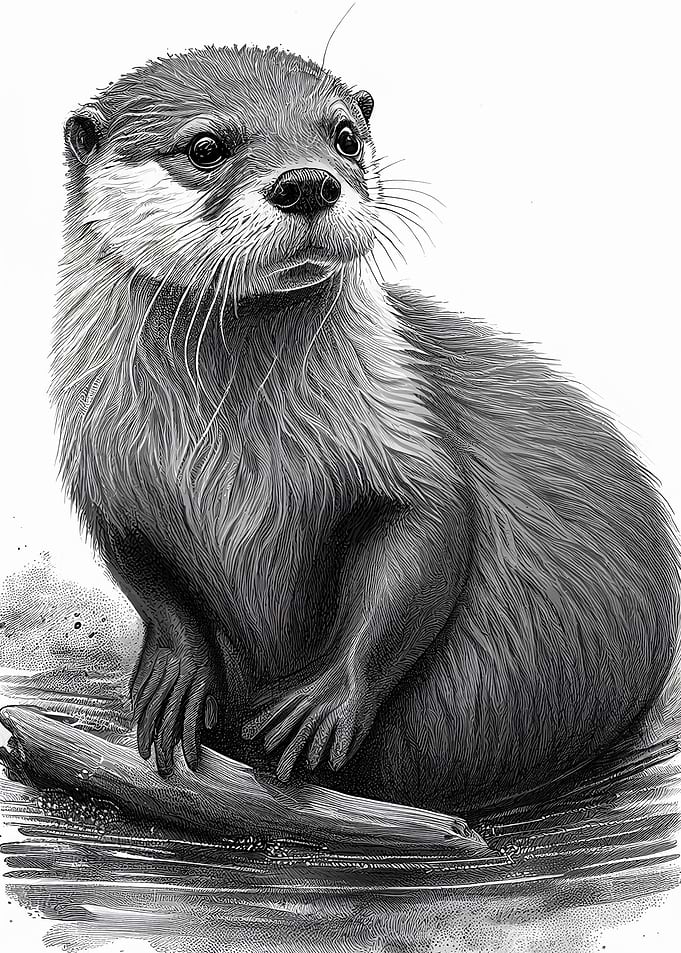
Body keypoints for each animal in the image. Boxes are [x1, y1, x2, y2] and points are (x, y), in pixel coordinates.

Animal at [50, 43, 679, 813]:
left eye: (344, 136)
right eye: (205, 147)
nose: (307, 183)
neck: (232, 452)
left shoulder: (400, 422)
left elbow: (427, 532)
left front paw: (326, 700)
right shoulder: (102, 471)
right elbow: (141, 570)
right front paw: (178, 675)